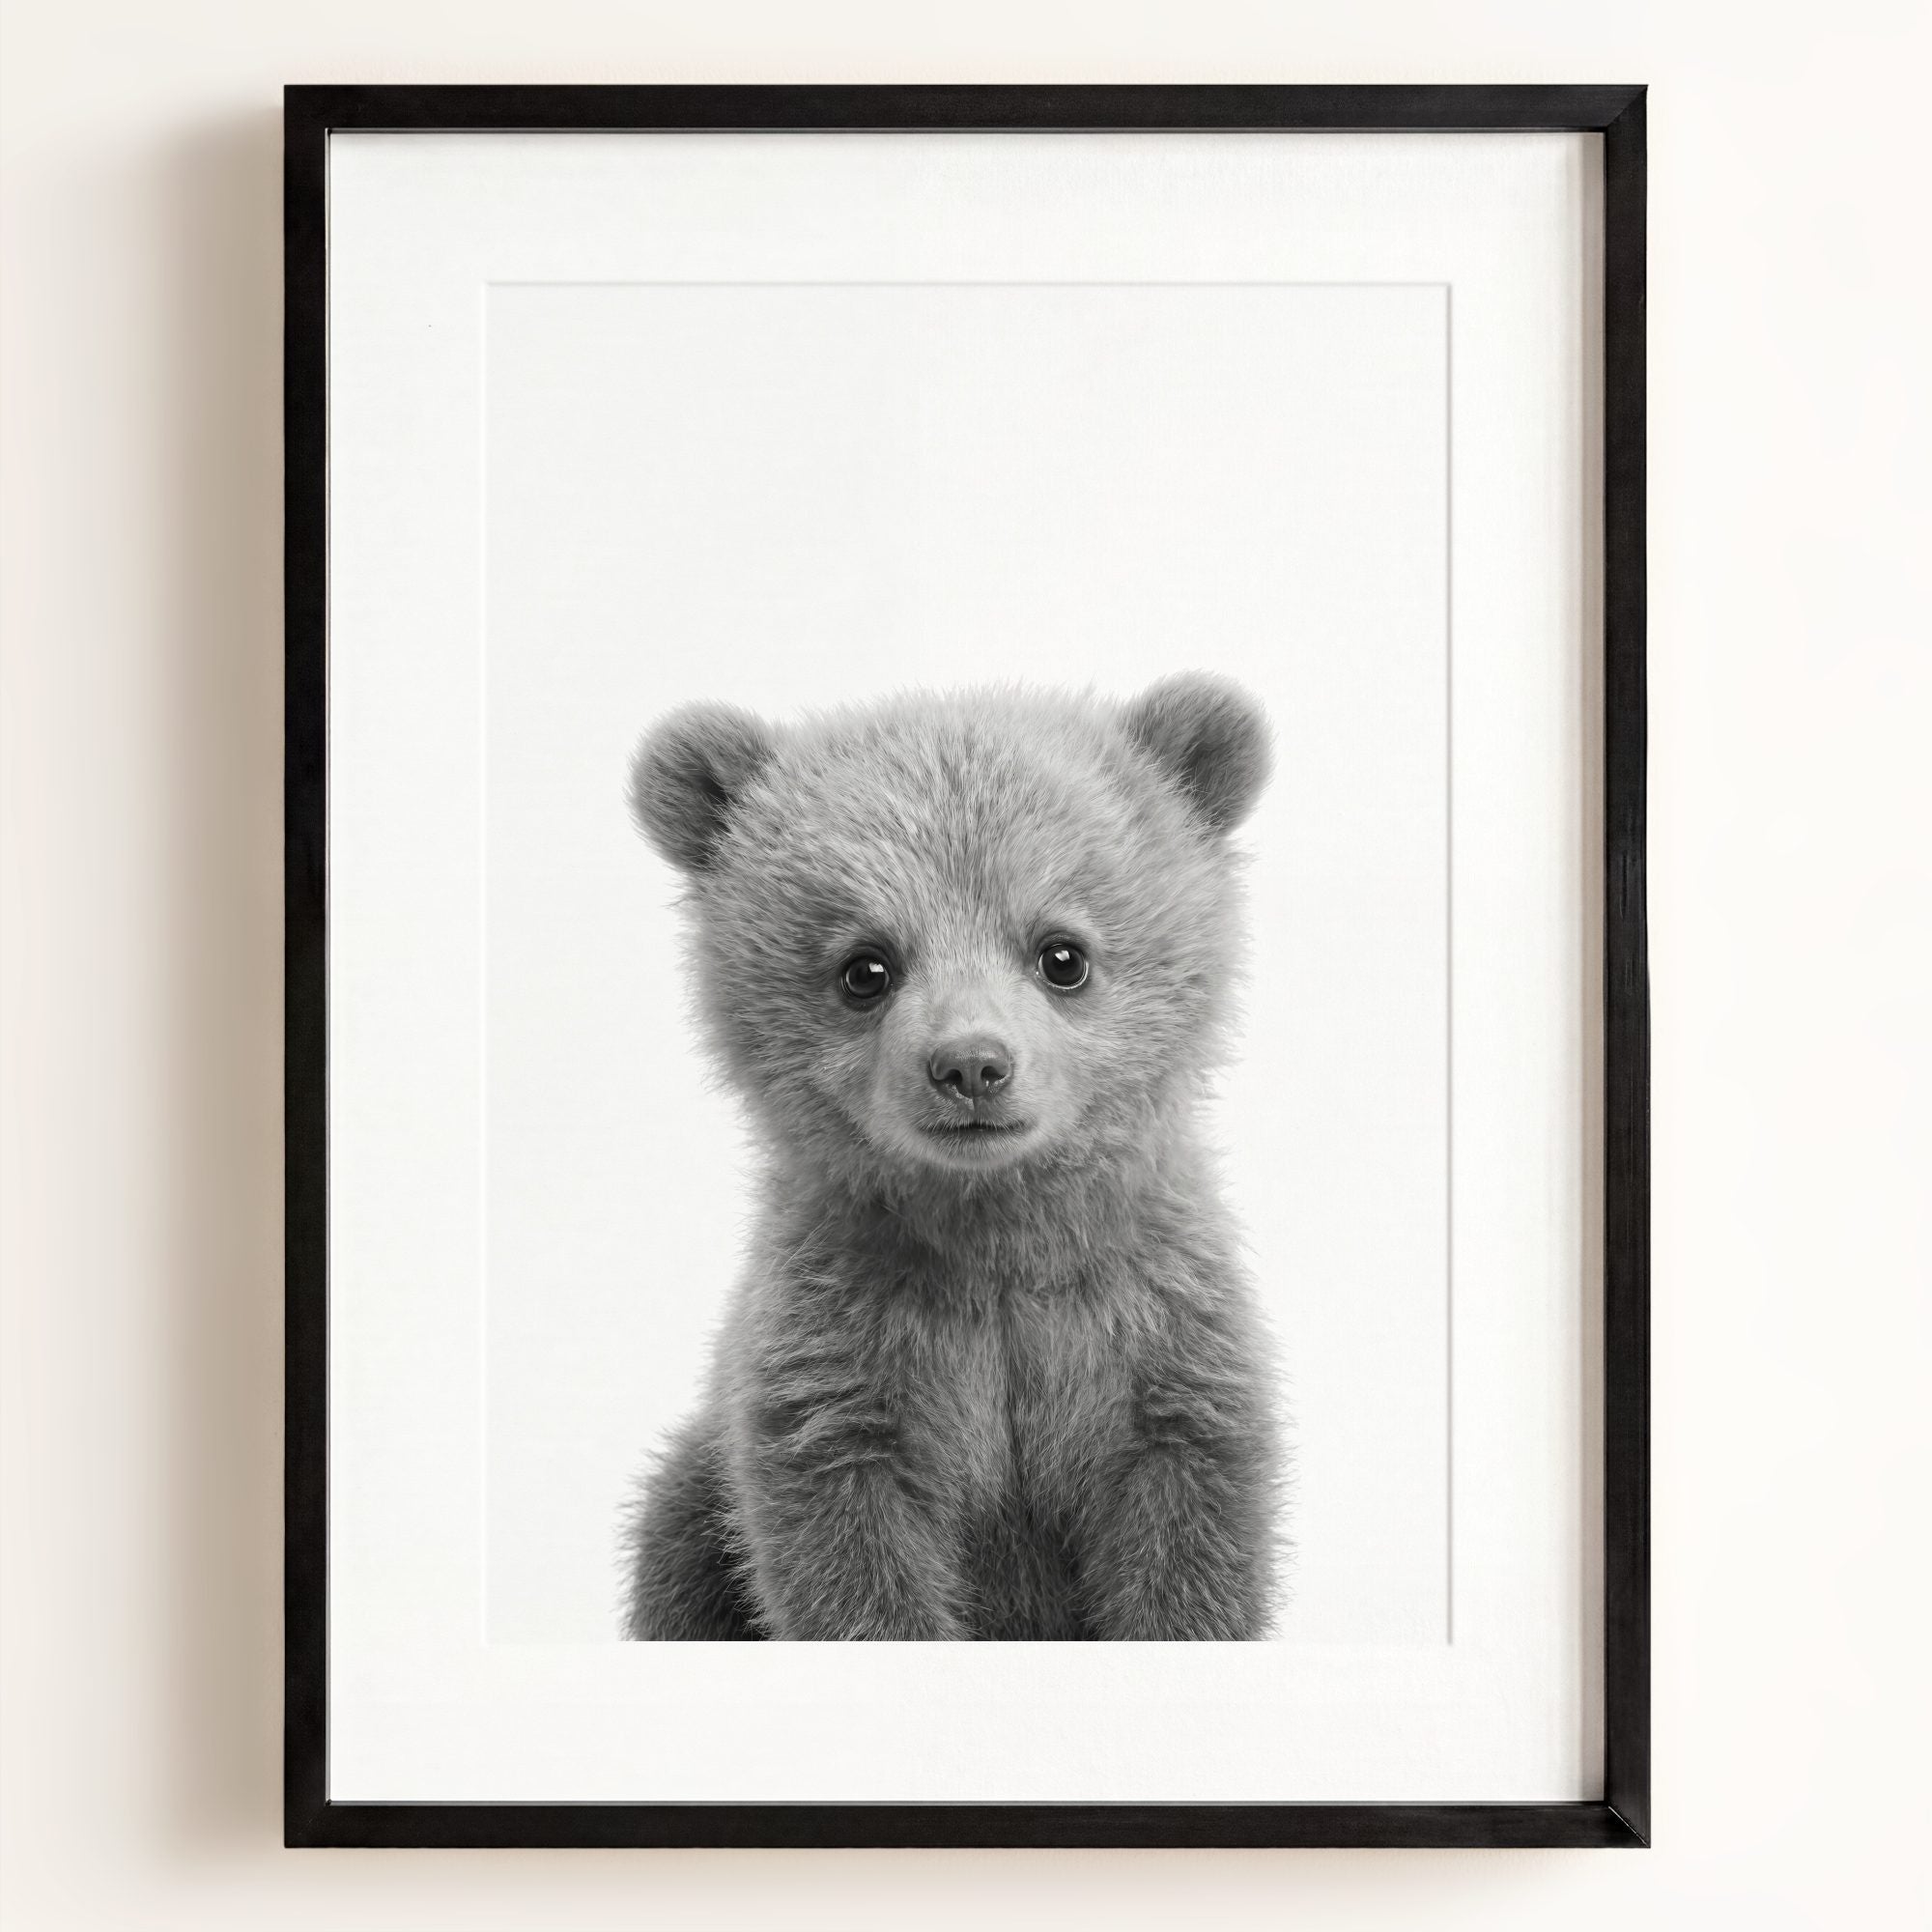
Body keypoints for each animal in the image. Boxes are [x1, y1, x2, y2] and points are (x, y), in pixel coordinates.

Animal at [619, 674, 1282, 1640]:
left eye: (1062, 954)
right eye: (865, 967)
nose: (971, 1065)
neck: (995, 1238)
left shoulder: (1154, 1342)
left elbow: (1188, 1549)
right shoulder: (843, 1364)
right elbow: (851, 1564)